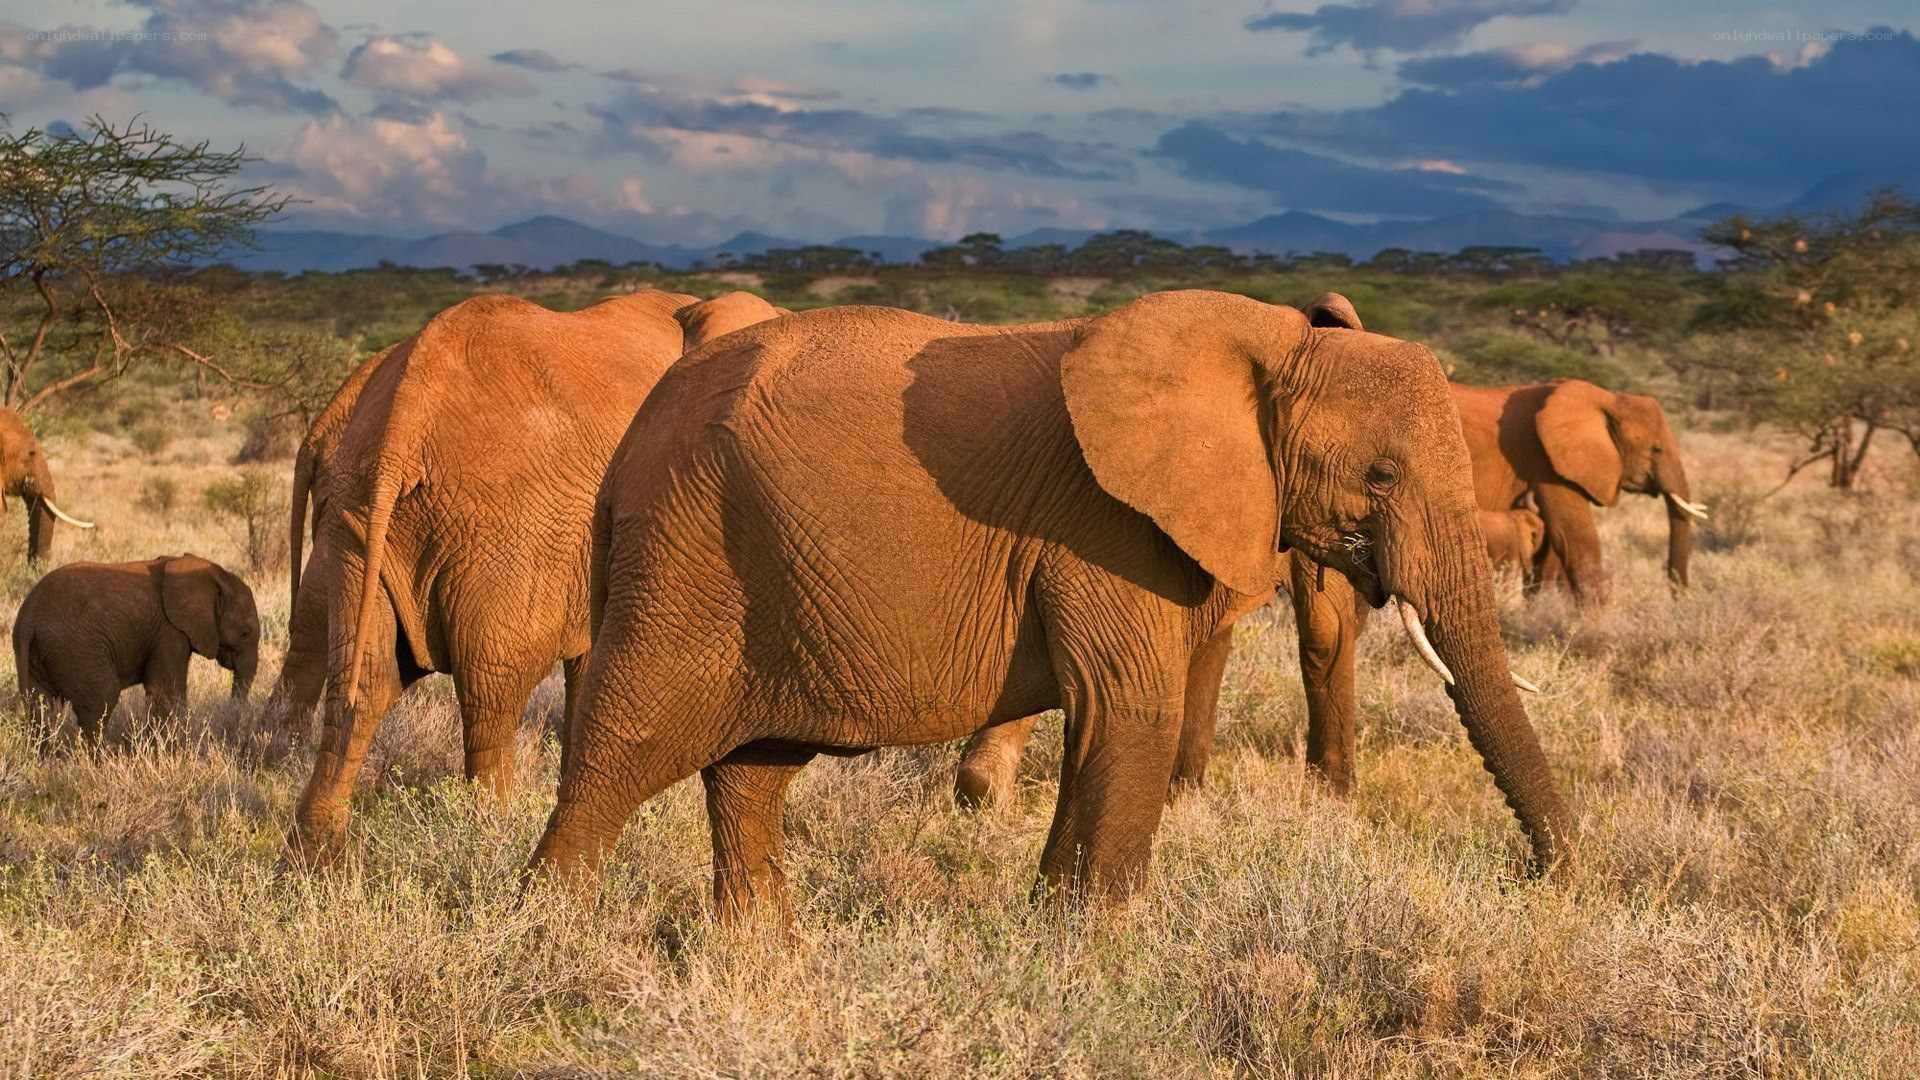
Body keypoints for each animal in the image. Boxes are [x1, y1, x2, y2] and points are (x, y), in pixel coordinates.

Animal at [14, 554, 259, 746]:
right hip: (76, 649)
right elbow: (165, 691)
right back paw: (103, 758)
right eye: (245, 633)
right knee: (101, 699)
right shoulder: (168, 632)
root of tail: (28, 617)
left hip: (39, 653)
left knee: (42, 707)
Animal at [286, 289, 788, 859]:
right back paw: (489, 831)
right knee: (492, 688)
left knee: (361, 677)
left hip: (358, 516)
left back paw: (312, 851)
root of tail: (404, 421)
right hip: (505, 530)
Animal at [526, 290, 1572, 921]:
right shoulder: (1103, 525)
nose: (1541, 877)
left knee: (751, 777)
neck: (1267, 346)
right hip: (686, 554)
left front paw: (1052, 930)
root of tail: (631, 444)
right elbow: (1129, 708)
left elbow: (1106, 721)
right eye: (1381, 476)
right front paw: (1095, 955)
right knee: (621, 753)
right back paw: (556, 946)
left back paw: (760, 962)